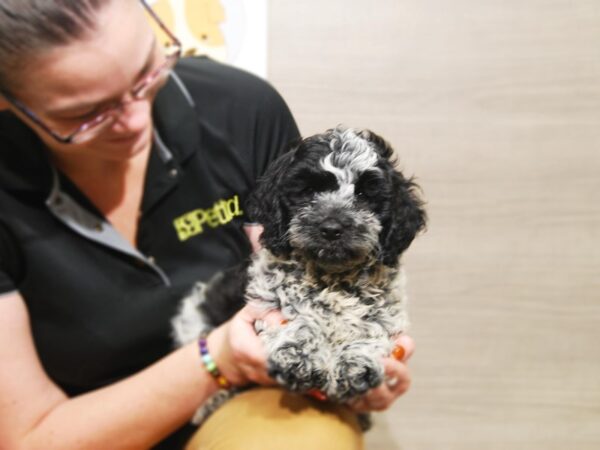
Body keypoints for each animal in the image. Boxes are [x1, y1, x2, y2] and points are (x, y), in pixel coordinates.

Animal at [172, 127, 426, 428]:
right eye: (308, 191)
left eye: (364, 194)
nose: (332, 228)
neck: (332, 277)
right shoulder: (266, 300)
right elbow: (300, 317)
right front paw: (298, 354)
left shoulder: (388, 308)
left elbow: (374, 324)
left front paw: (355, 361)